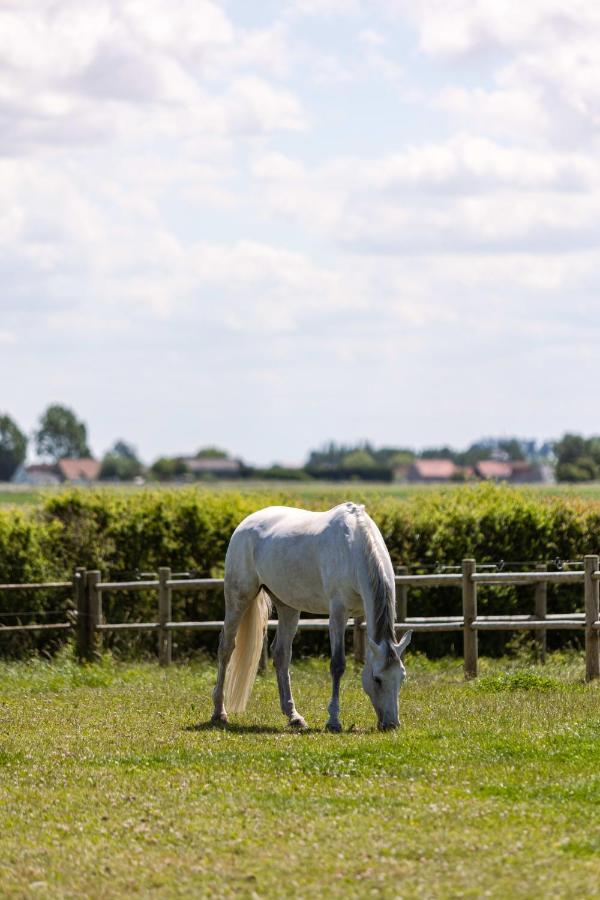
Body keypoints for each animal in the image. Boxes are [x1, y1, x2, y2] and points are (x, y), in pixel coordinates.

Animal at [211, 502, 412, 736]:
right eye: (377, 679)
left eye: (402, 677)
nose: (391, 724)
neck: (354, 545)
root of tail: (245, 525)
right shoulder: (338, 613)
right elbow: (337, 665)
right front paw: (333, 721)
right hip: (238, 598)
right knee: (226, 648)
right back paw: (219, 713)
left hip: (288, 606)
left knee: (281, 654)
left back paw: (294, 716)